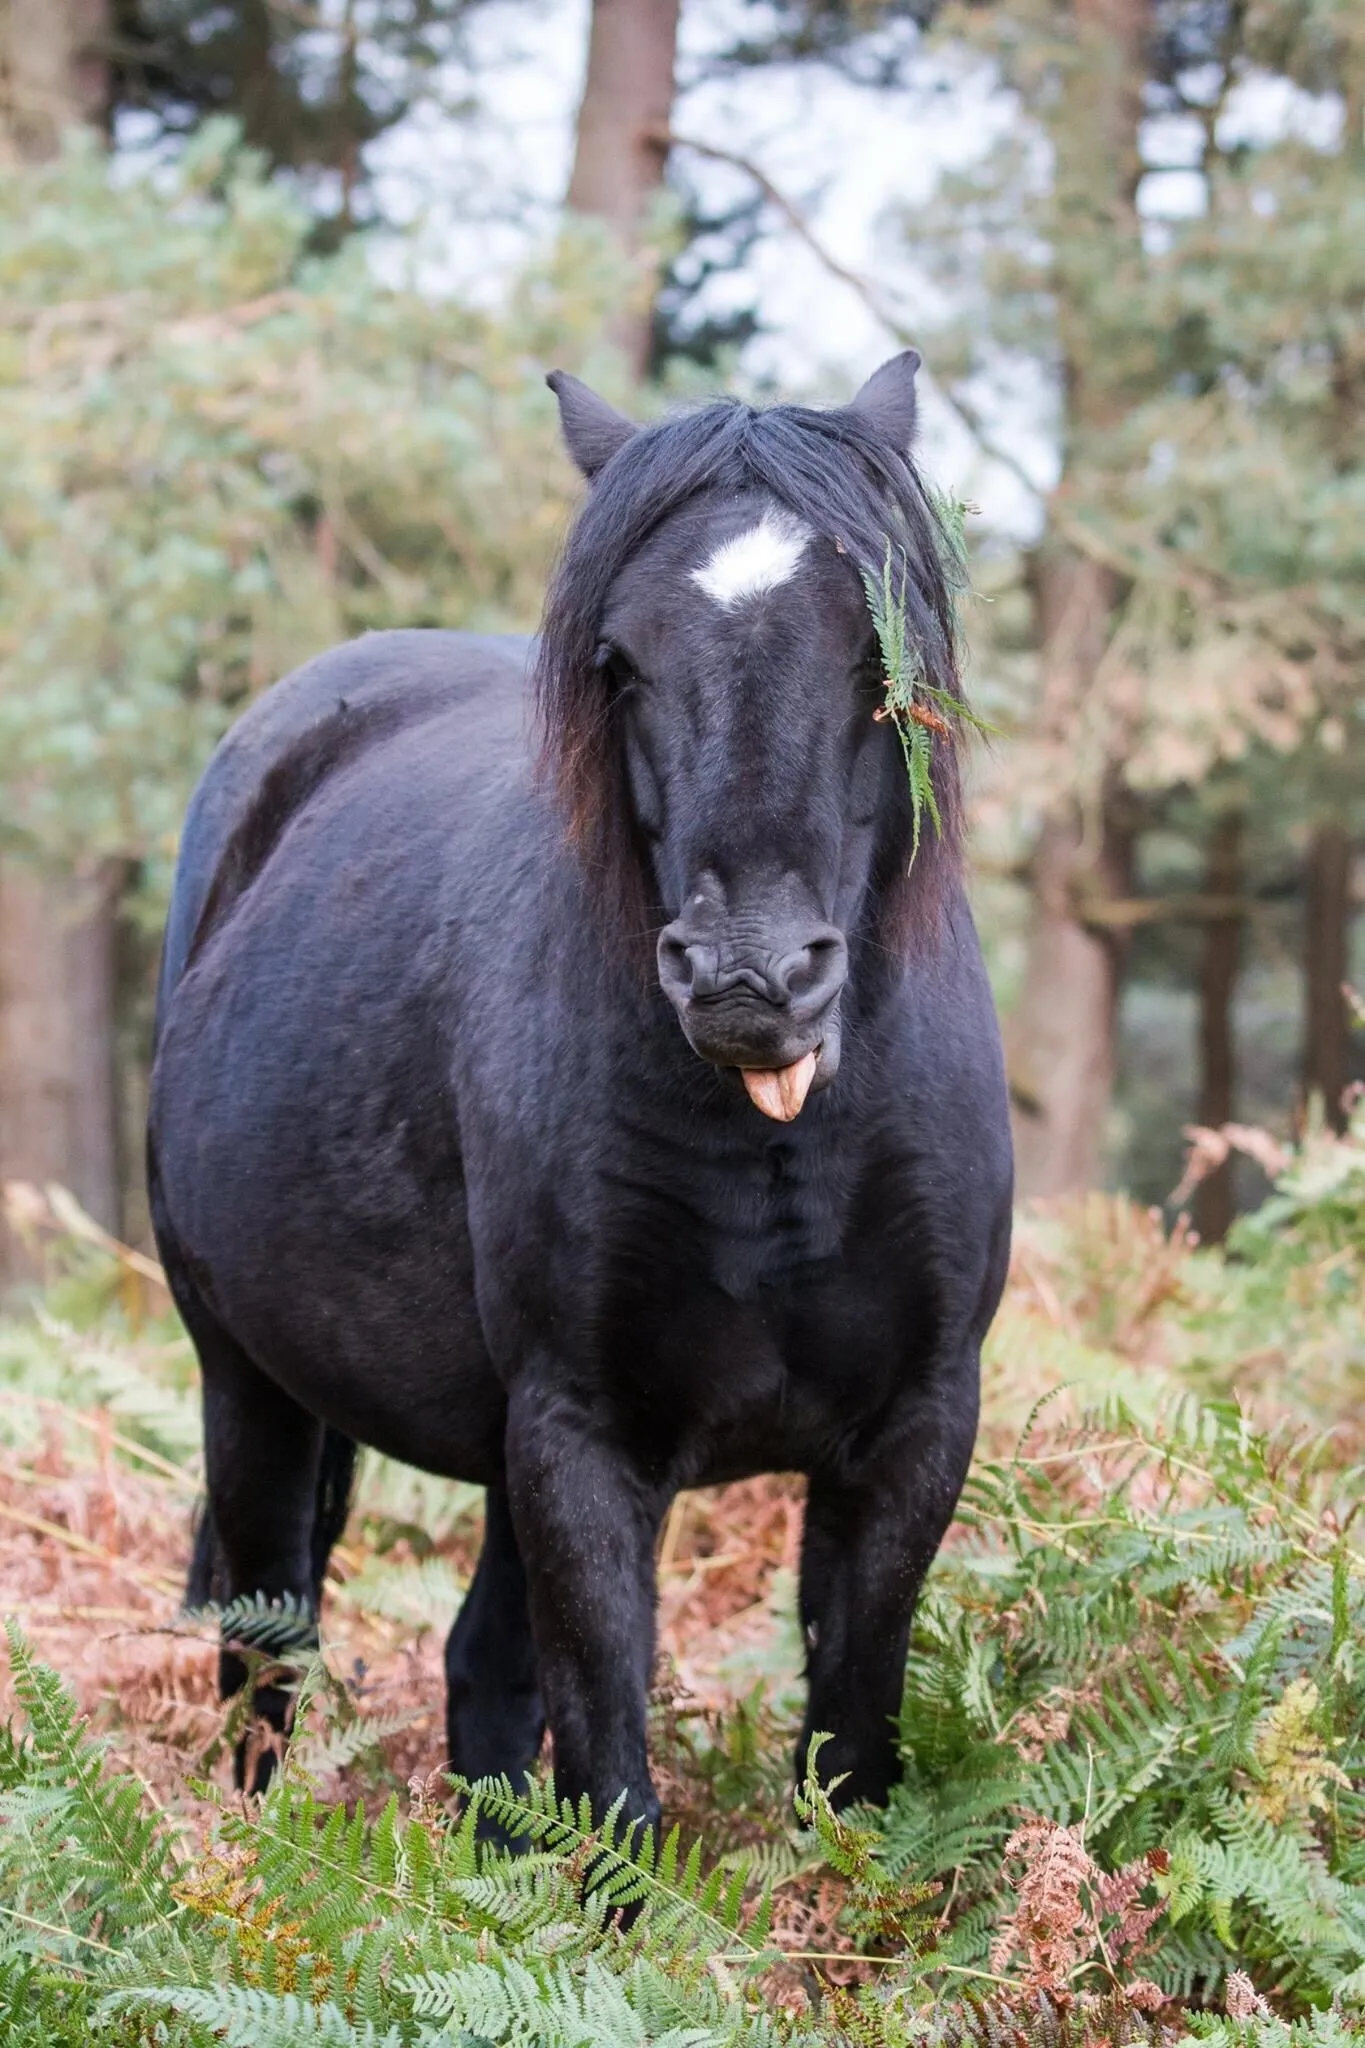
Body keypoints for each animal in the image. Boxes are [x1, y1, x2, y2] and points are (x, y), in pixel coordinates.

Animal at [148, 348, 1013, 1835]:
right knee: (269, 1645)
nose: (748, 975)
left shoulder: (909, 1438)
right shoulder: (583, 1442)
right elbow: (611, 1769)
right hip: (248, 1385)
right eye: (621, 663)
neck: (781, 1151)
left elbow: (850, 1750)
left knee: (478, 1670)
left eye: (878, 656)